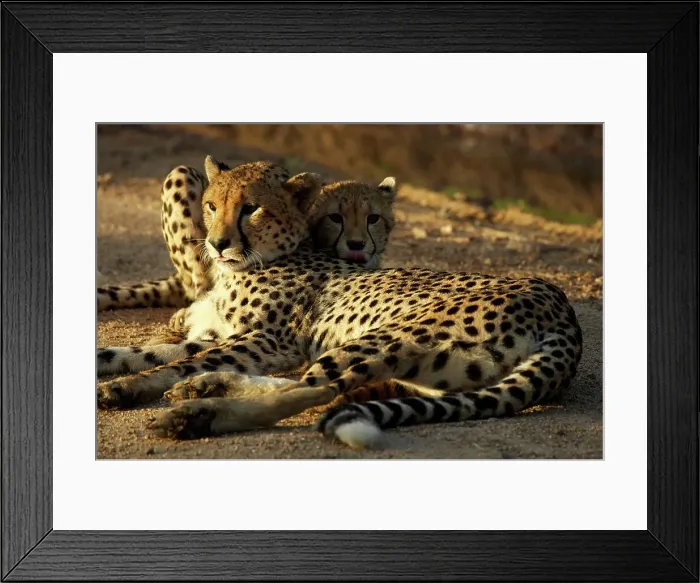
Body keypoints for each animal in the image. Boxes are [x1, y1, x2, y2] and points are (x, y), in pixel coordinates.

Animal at [97, 158, 583, 450]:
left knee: (314, 390)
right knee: (322, 386)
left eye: (251, 208)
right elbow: (144, 354)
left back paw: (197, 413)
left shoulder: (270, 341)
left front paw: (135, 386)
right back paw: (206, 390)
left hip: (389, 336)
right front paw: (117, 375)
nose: (215, 244)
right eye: (212, 205)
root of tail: (560, 309)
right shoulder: (215, 333)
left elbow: (174, 364)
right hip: (431, 373)